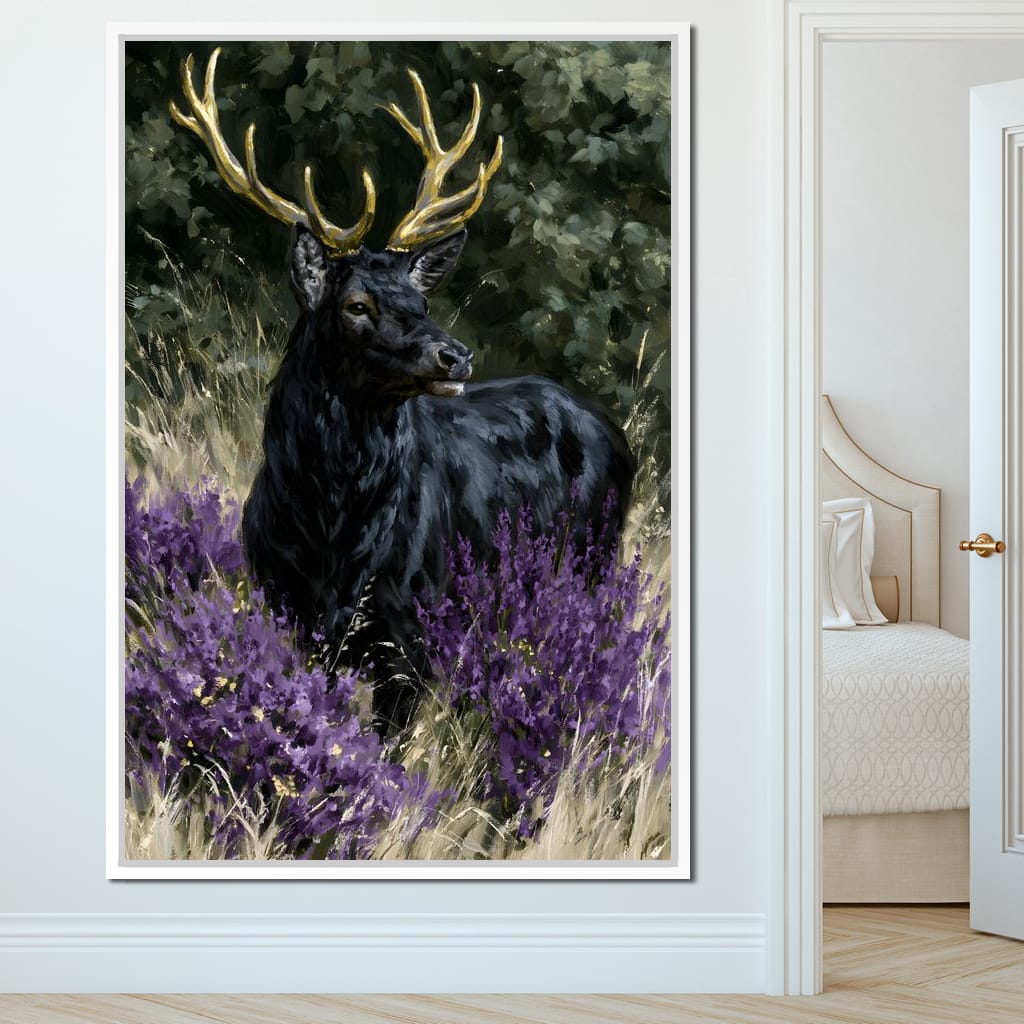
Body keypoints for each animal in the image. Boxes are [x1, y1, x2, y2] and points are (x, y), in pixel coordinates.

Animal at [170, 49, 636, 735]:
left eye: (422, 301)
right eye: (357, 305)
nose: (456, 354)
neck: (334, 531)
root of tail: (614, 433)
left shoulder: (410, 632)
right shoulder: (294, 619)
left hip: (592, 559)